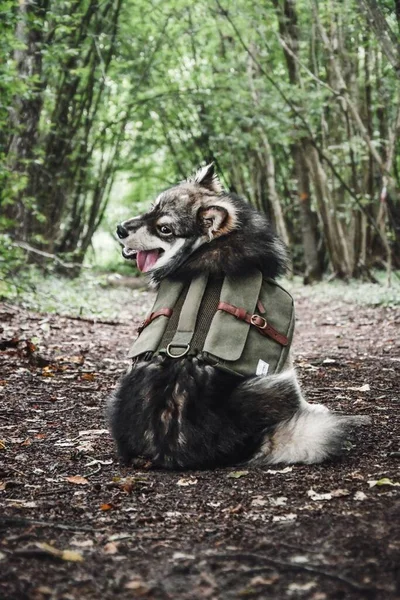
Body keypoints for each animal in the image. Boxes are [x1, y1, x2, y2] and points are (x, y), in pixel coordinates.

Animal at [107, 163, 368, 468]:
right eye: (152, 208)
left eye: (164, 228)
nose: (120, 229)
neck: (208, 247)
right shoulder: (284, 353)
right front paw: (313, 406)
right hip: (274, 381)